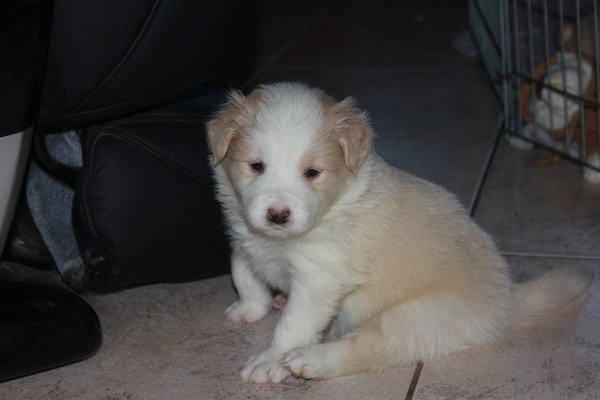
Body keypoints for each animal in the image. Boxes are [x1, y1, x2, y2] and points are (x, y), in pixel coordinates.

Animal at [206, 82, 592, 384]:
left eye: (312, 172)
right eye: (256, 166)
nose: (278, 216)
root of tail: (508, 303)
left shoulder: (318, 278)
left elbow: (292, 326)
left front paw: (270, 361)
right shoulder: (243, 240)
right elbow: (244, 275)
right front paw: (250, 308)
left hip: (410, 318)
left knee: (368, 347)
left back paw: (312, 360)